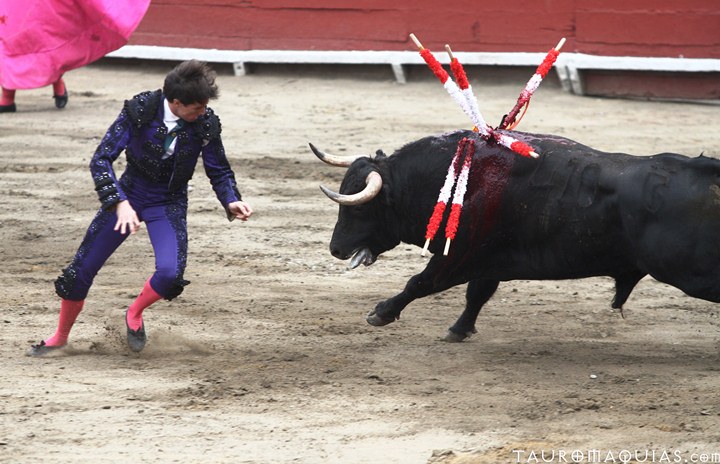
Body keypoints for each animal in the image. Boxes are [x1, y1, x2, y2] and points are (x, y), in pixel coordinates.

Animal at [312, 129, 720, 342]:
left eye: (359, 208)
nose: (336, 249)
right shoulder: (487, 259)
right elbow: (477, 294)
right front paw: (459, 330)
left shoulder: (457, 255)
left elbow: (420, 282)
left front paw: (381, 313)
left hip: (690, 272)